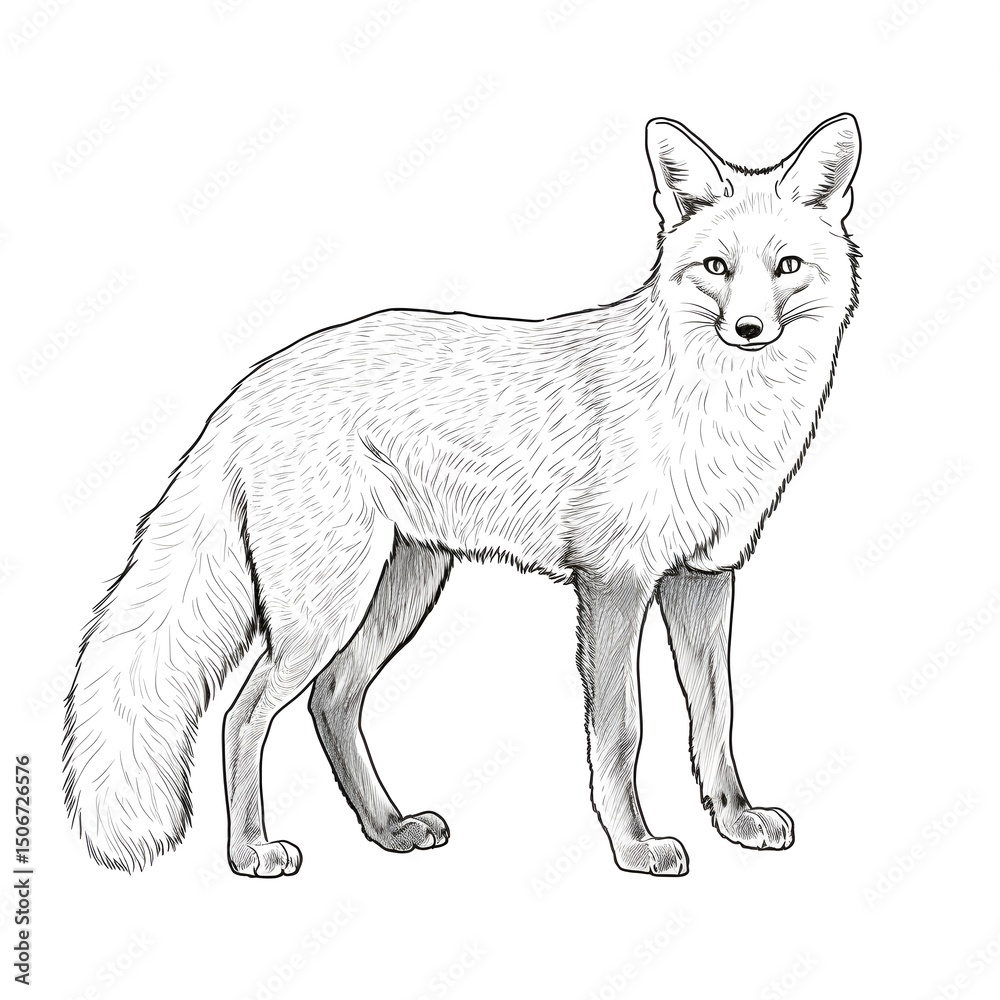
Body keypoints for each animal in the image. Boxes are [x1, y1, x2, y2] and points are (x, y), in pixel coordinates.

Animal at [63, 113, 861, 878]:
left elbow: (716, 717)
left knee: (332, 699)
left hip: (399, 589)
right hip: (327, 605)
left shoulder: (704, 574)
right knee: (243, 714)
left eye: (787, 266)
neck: (720, 408)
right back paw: (251, 852)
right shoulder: (615, 580)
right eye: (715, 268)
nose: (748, 329)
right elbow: (622, 731)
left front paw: (736, 820)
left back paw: (388, 830)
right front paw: (634, 846)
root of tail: (250, 385)